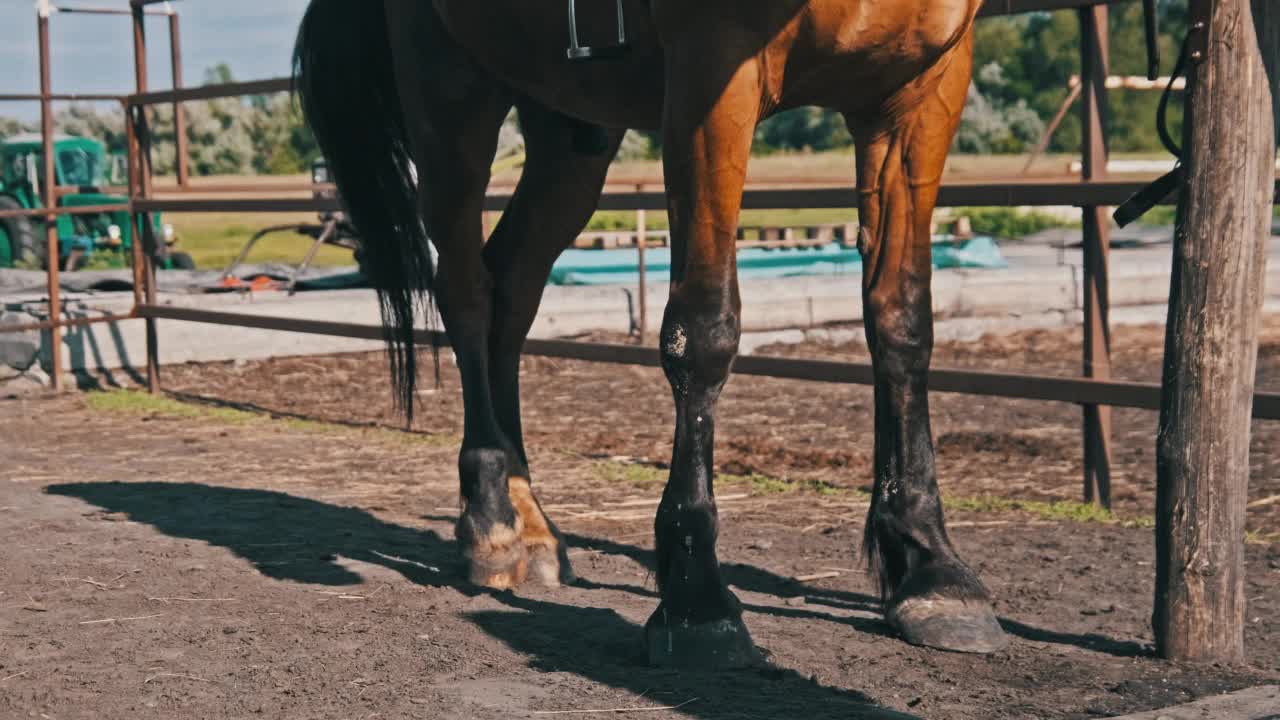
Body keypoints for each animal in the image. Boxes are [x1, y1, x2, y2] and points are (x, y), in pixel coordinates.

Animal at [294, 0, 1003, 666]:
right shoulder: (712, 75)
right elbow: (704, 330)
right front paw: (696, 598)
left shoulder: (918, 93)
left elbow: (902, 322)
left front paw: (932, 567)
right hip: (452, 105)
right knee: (466, 293)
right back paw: (490, 520)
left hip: (569, 128)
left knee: (512, 288)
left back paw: (530, 525)